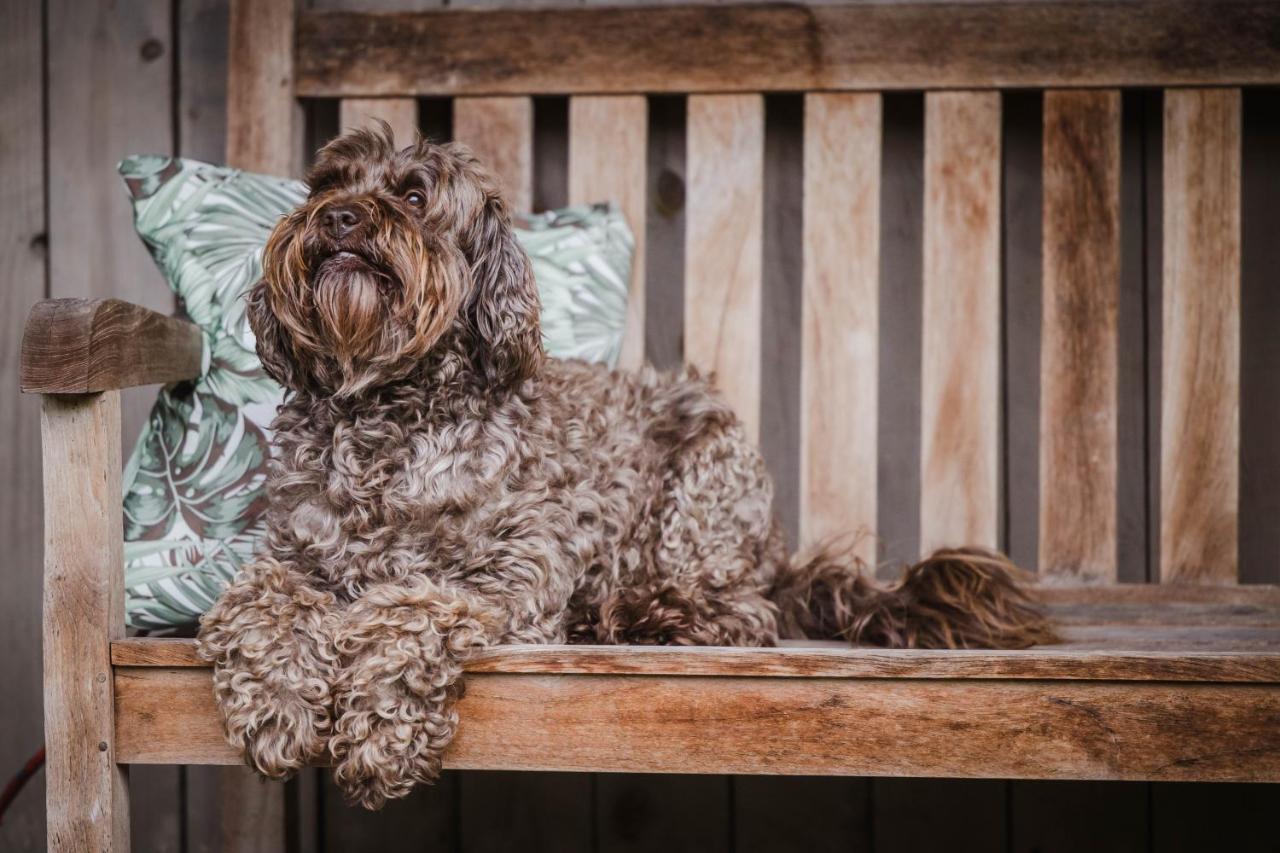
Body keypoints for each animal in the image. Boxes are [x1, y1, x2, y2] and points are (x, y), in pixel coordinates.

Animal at [199, 126, 1054, 804]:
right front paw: (274, 704)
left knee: (743, 613)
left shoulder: (515, 573)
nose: (338, 217)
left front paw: (379, 727)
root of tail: (776, 551)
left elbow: (409, 609)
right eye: (328, 184)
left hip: (704, 478)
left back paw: (635, 612)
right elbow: (259, 604)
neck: (385, 413)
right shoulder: (290, 560)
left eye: (413, 194)